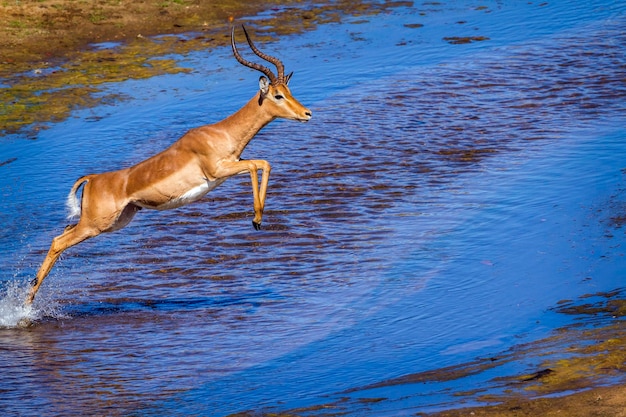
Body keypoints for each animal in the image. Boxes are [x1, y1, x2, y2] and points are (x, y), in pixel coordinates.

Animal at [25, 26, 312, 306]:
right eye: (278, 95)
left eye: (289, 92)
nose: (307, 114)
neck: (221, 133)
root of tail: (93, 179)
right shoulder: (219, 171)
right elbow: (257, 165)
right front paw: (256, 219)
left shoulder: (234, 164)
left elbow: (264, 163)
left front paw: (258, 219)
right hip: (96, 225)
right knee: (57, 241)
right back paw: (27, 303)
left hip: (116, 221)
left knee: (63, 234)